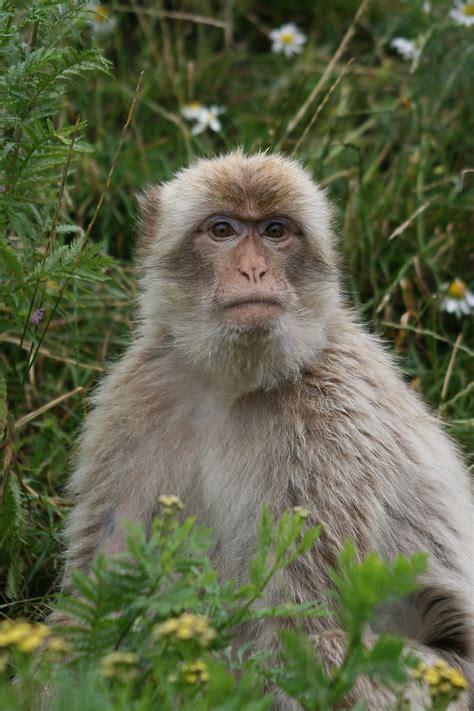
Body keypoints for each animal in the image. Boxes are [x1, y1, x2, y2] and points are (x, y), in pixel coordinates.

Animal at [61, 150, 473, 709]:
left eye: (276, 231)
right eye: (223, 230)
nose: (254, 269)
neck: (232, 388)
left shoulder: (330, 430)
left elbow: (300, 621)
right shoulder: (131, 406)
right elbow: (97, 589)